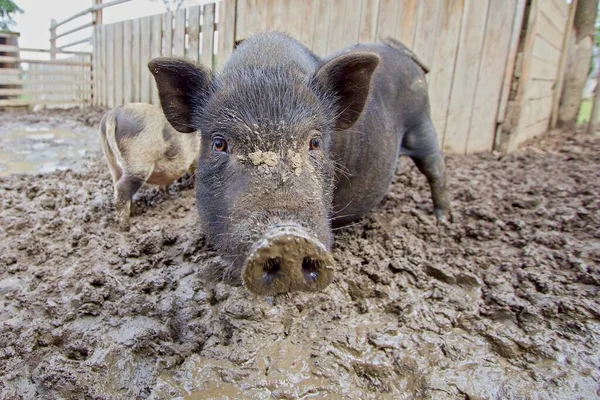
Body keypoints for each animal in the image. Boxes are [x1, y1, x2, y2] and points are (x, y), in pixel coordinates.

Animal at [149, 32, 450, 296]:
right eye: (219, 143)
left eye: (314, 142)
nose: (287, 239)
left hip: (423, 125)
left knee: (436, 170)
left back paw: (442, 220)